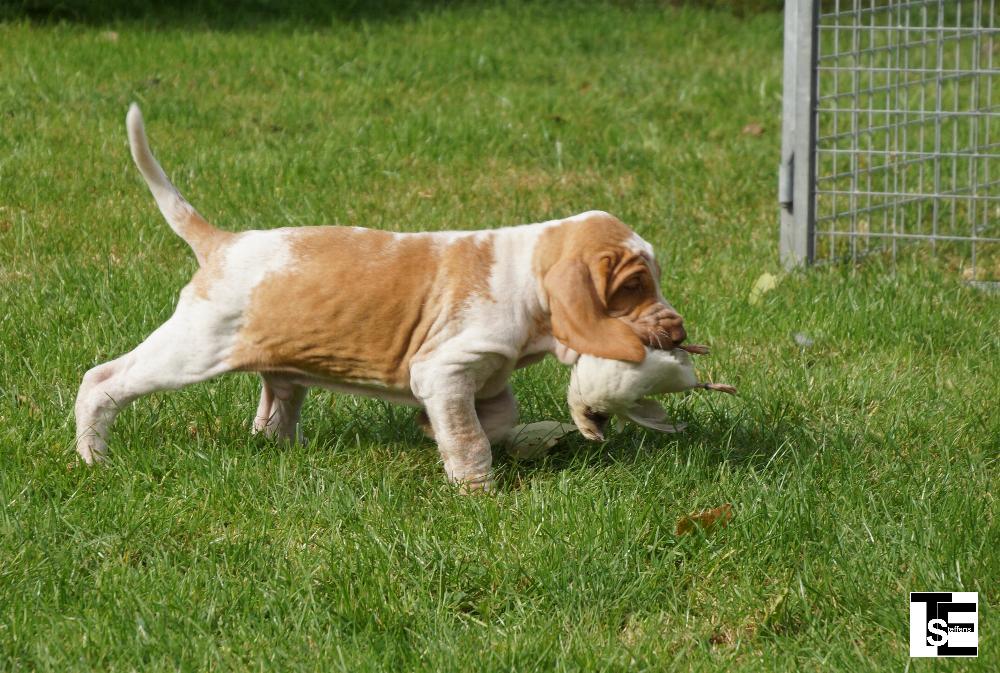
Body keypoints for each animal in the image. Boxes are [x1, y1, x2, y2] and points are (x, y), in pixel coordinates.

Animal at [76, 103, 688, 488]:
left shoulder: (484, 378)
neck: (523, 276)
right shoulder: (443, 371)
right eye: (632, 286)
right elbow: (469, 441)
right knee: (100, 382)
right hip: (192, 348)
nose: (679, 331)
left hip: (277, 368)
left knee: (274, 411)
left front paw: (431, 432)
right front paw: (478, 491)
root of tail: (223, 243)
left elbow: (494, 418)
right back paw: (92, 458)